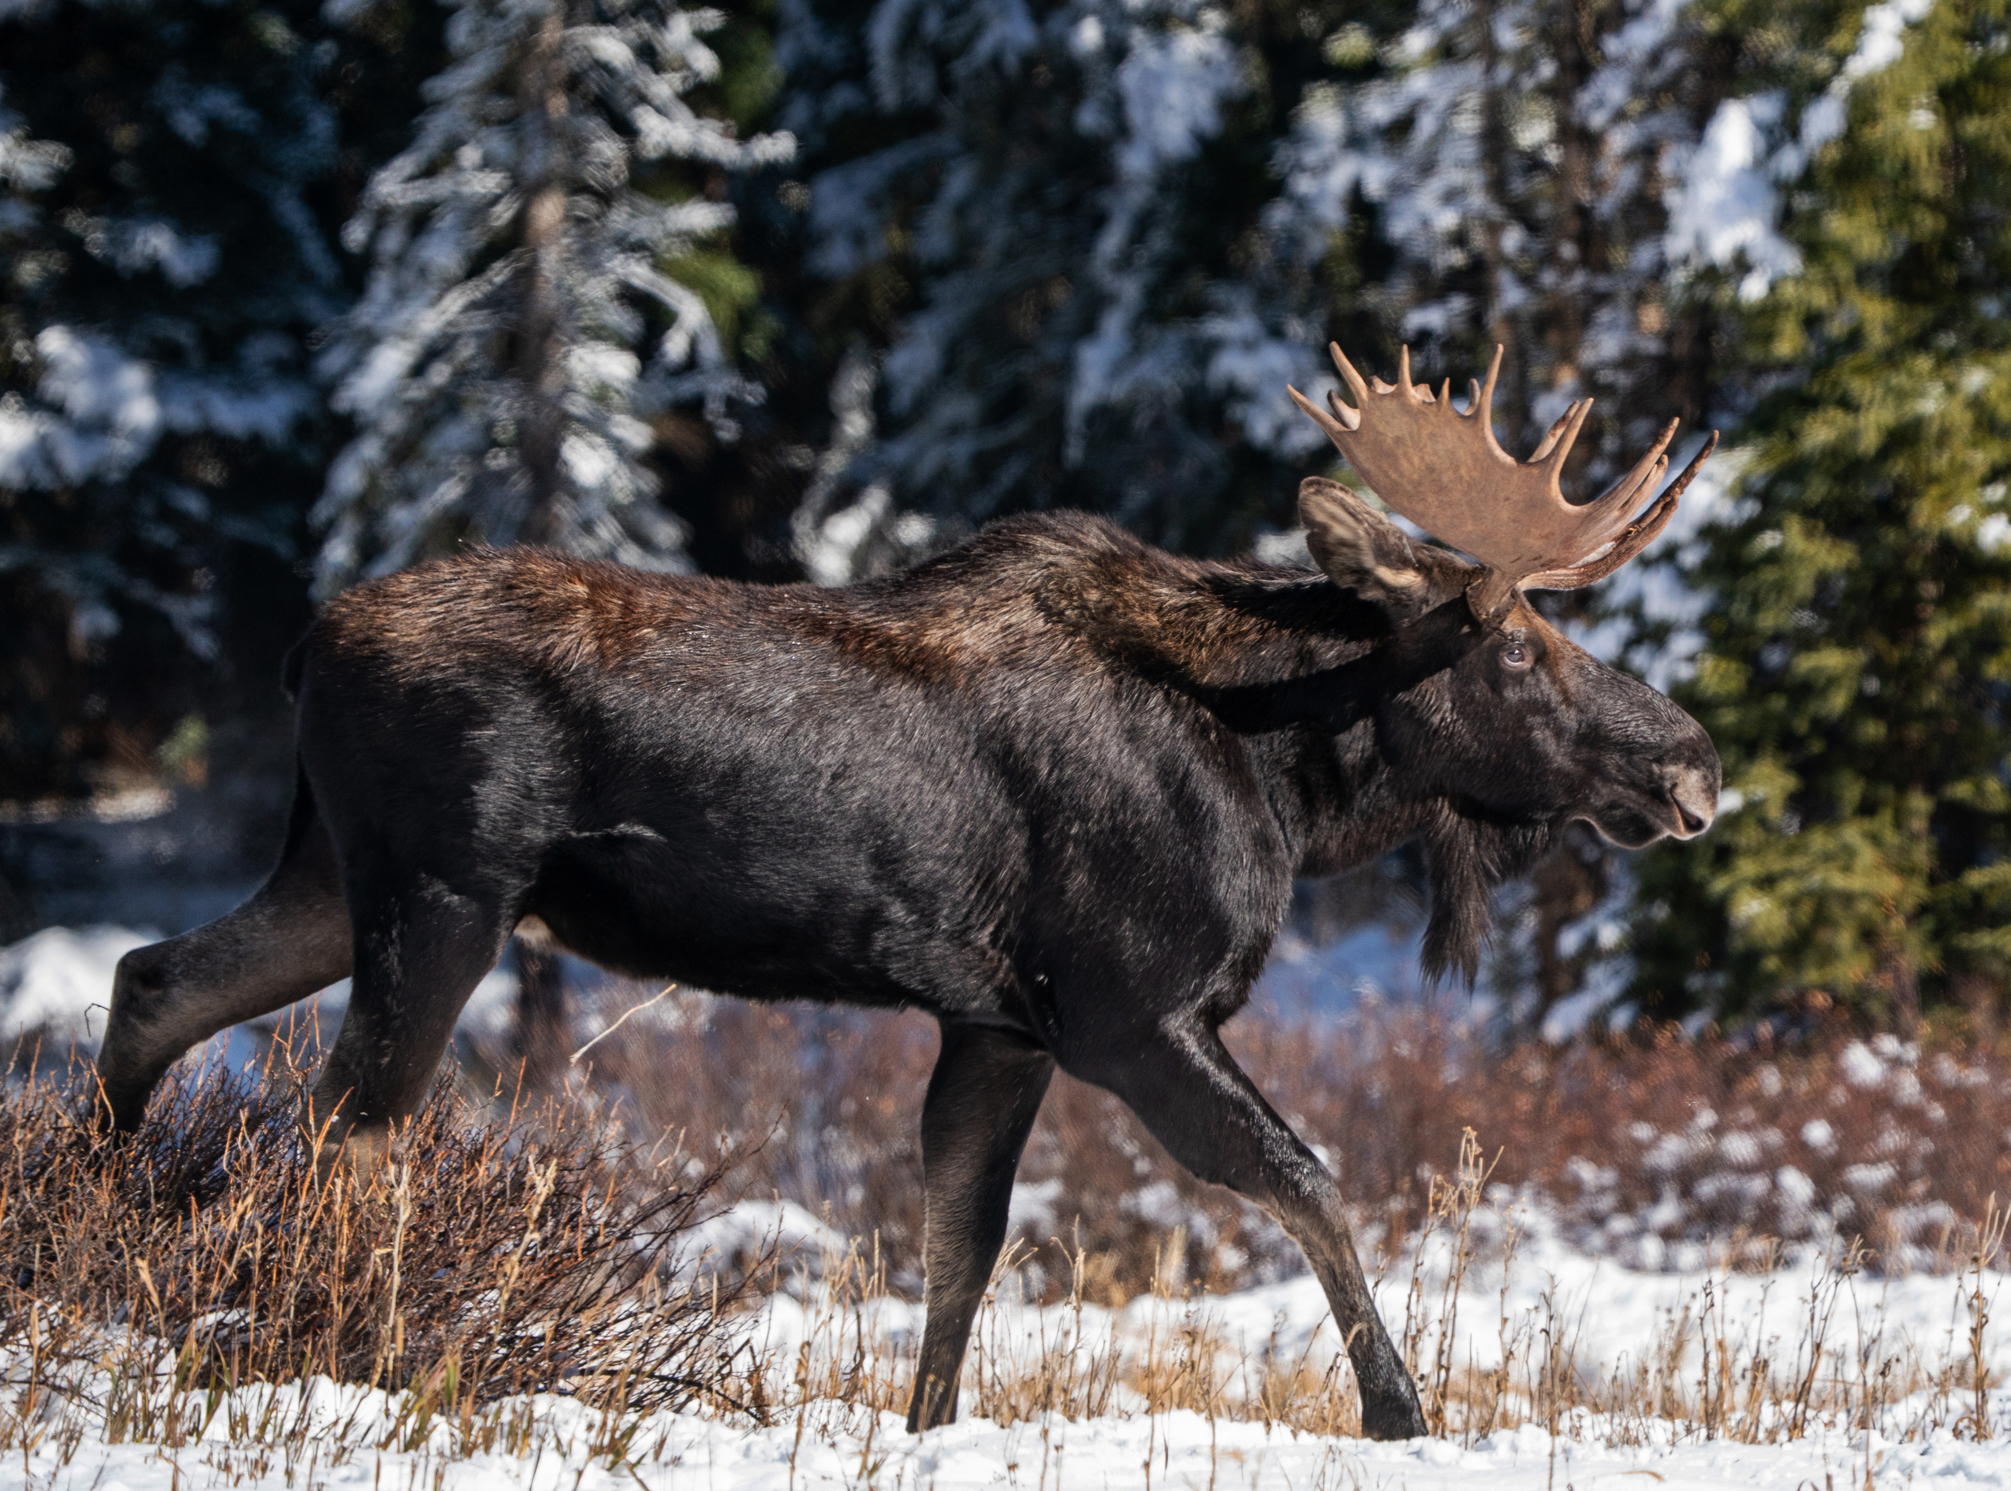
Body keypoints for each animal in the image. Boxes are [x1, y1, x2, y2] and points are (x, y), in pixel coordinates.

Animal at [95, 344, 1720, 1441]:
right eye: (1515, 647)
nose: (1691, 764)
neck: (1288, 768)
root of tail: (304, 645)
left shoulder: (996, 1022)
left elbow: (959, 1246)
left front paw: (928, 1426)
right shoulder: (1127, 1011)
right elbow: (1306, 1177)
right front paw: (1402, 1412)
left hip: (333, 873)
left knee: (155, 978)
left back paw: (99, 1219)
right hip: (443, 892)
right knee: (345, 1122)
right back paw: (321, 1344)